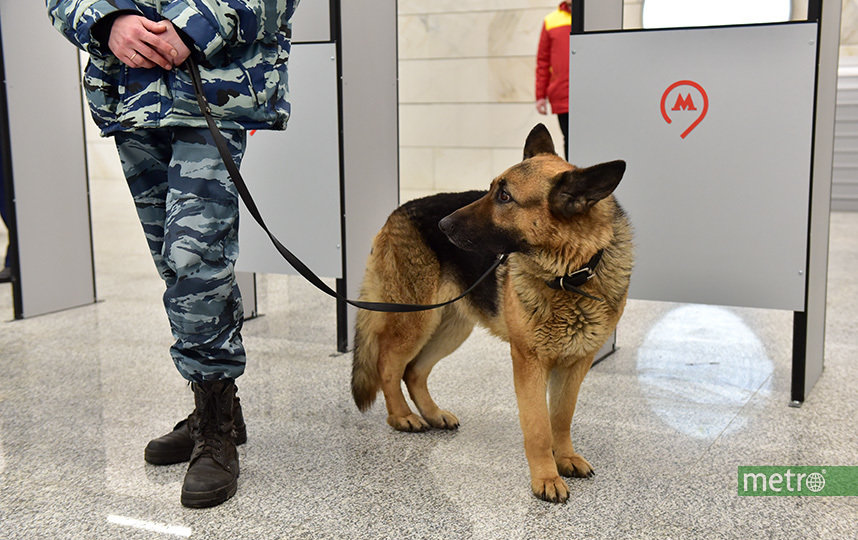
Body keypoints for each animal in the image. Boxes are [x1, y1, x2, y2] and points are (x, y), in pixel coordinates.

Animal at [352, 123, 632, 502]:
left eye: (505, 197)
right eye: (491, 190)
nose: (443, 225)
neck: (570, 274)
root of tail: (398, 211)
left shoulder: (577, 363)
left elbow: (561, 417)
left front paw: (565, 457)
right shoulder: (528, 362)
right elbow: (538, 427)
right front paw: (546, 477)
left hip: (451, 329)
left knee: (414, 371)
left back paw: (433, 414)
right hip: (416, 321)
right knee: (388, 364)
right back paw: (401, 417)